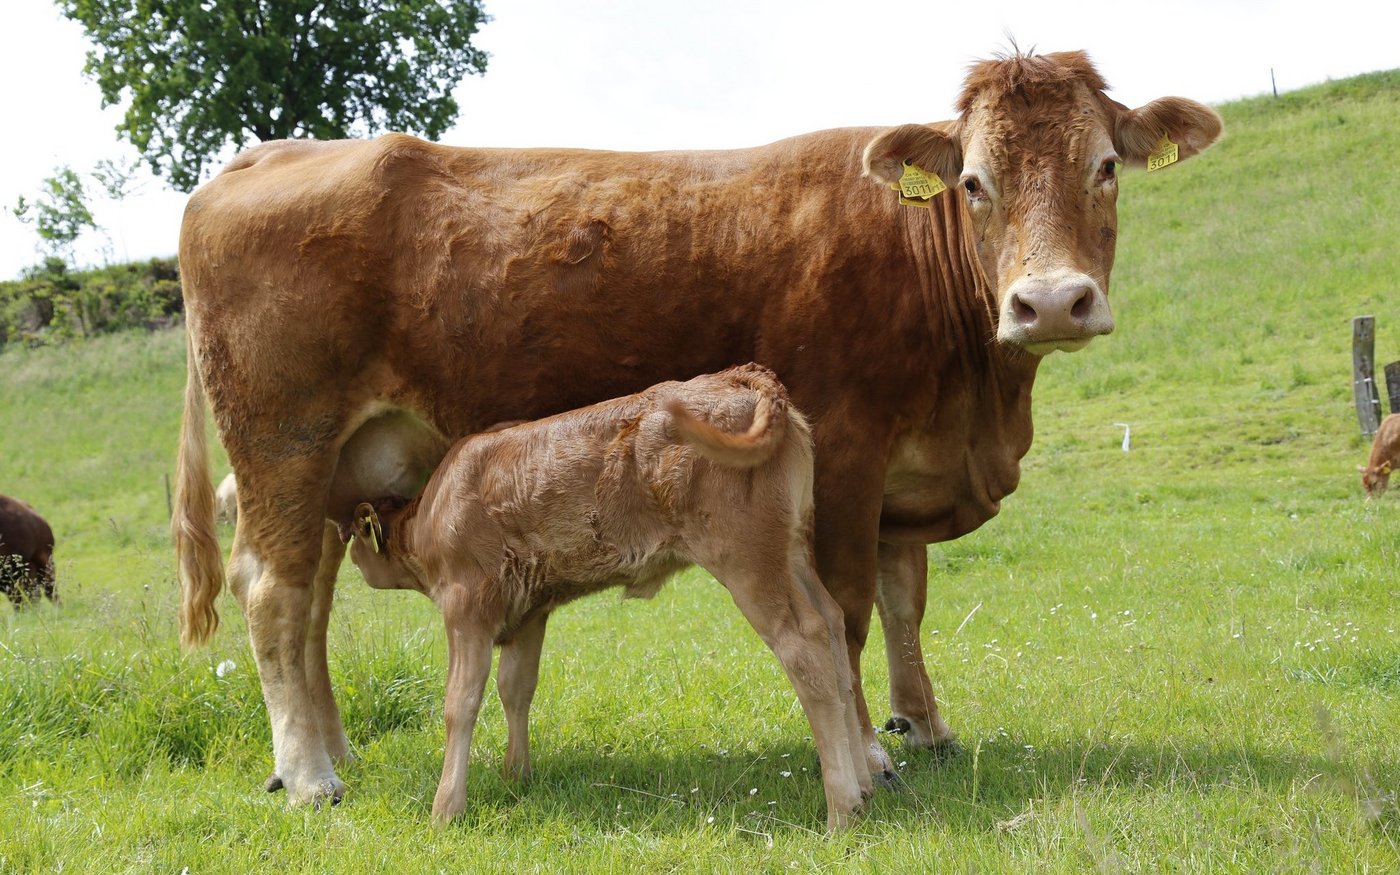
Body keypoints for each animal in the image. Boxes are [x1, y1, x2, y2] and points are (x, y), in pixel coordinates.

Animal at [340, 364, 869, 828]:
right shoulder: (529, 612)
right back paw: (864, 788)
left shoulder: (466, 605)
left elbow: (460, 702)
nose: (350, 551)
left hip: (747, 560)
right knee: (833, 624)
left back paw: (841, 811)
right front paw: (516, 776)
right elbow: (516, 688)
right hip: (792, 549)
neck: (433, 510)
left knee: (804, 644)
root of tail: (742, 377)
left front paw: (446, 810)